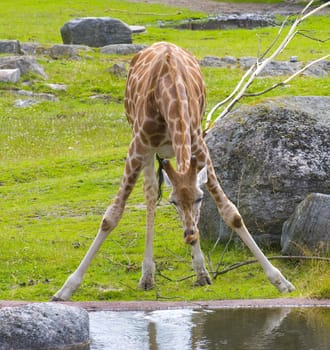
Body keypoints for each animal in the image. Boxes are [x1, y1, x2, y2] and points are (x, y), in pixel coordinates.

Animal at [52, 42, 296, 300]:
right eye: (173, 202)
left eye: (200, 199)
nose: (189, 234)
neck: (170, 93)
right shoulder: (138, 144)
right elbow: (111, 216)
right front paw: (65, 289)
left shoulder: (199, 143)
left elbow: (231, 213)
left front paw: (281, 281)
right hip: (147, 149)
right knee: (150, 194)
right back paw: (147, 277)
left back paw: (199, 273)